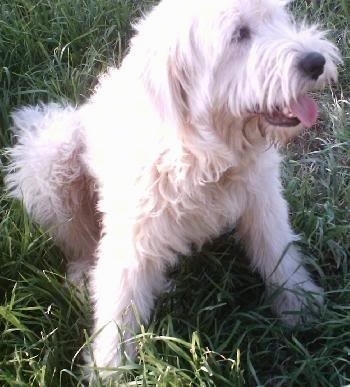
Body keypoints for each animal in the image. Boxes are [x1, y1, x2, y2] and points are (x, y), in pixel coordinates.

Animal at [4, 0, 340, 372]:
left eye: (281, 17)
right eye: (240, 34)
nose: (316, 61)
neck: (205, 150)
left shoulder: (263, 198)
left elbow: (278, 251)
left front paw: (301, 307)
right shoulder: (131, 234)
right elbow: (120, 301)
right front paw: (111, 368)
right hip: (51, 157)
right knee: (80, 243)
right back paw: (84, 277)